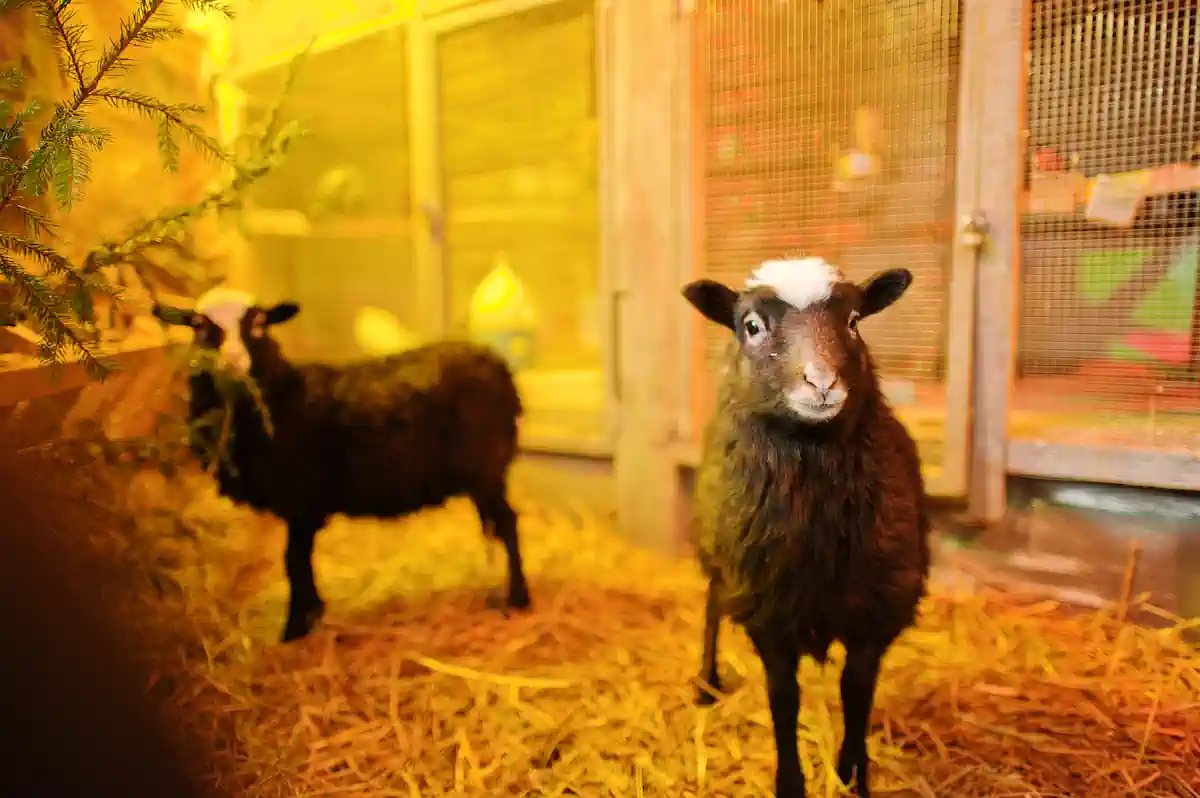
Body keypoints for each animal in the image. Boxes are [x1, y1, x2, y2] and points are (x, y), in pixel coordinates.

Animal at [152, 287, 532, 642]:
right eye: (199, 327)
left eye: (259, 323)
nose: (233, 364)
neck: (285, 396)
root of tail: (497, 366)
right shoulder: (300, 506)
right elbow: (298, 560)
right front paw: (309, 617)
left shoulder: (302, 500)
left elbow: (294, 561)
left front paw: (294, 629)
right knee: (492, 525)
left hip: (486, 467)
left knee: (507, 524)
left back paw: (518, 599)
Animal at [681, 258, 930, 798]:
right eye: (752, 326)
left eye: (854, 321)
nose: (821, 383)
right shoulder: (768, 612)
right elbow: (783, 698)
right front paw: (790, 782)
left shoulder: (875, 611)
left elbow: (856, 695)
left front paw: (853, 777)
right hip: (722, 558)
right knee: (711, 606)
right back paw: (707, 682)